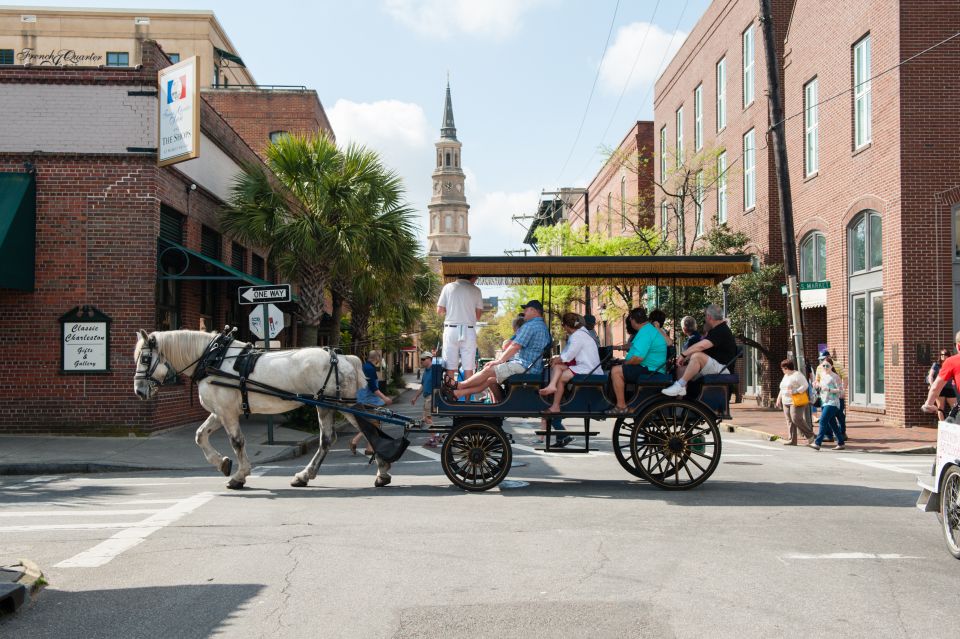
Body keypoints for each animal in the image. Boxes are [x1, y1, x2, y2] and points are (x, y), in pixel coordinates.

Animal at [131, 330, 394, 490]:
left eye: (144, 359)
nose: (139, 391)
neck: (213, 359)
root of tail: (346, 358)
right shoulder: (220, 410)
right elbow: (200, 435)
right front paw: (222, 463)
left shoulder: (227, 412)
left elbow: (237, 442)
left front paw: (239, 476)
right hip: (327, 406)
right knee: (329, 439)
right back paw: (305, 476)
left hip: (341, 405)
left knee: (369, 432)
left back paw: (382, 471)